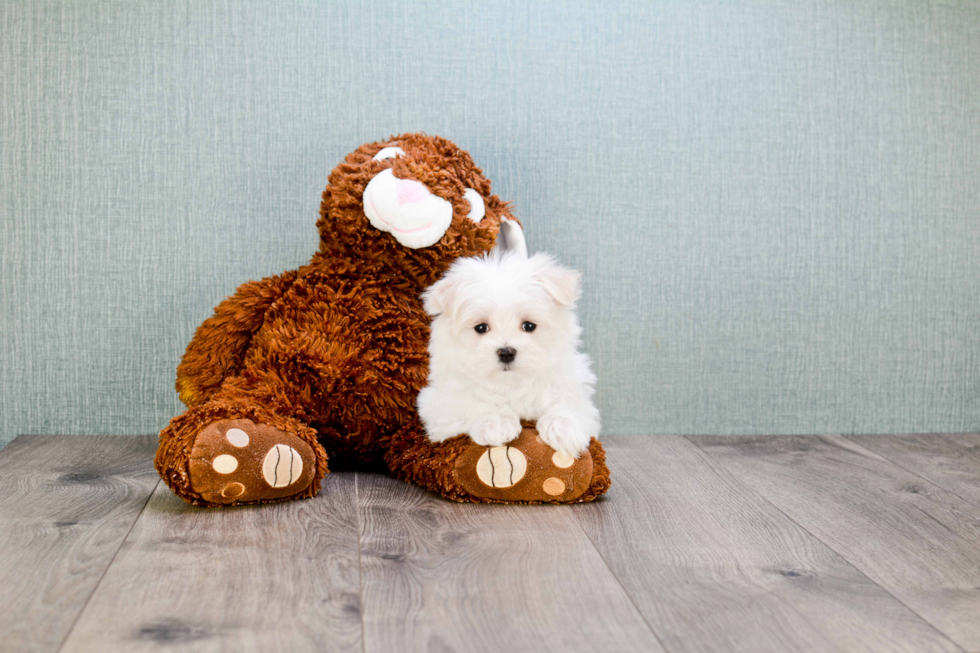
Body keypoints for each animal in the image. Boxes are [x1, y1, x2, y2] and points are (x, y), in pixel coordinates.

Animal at [418, 251, 600, 458]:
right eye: (481, 328)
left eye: (528, 326)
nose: (506, 353)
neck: (510, 382)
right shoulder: (439, 406)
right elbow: (471, 402)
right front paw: (496, 422)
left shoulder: (571, 385)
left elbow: (568, 403)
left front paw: (563, 428)